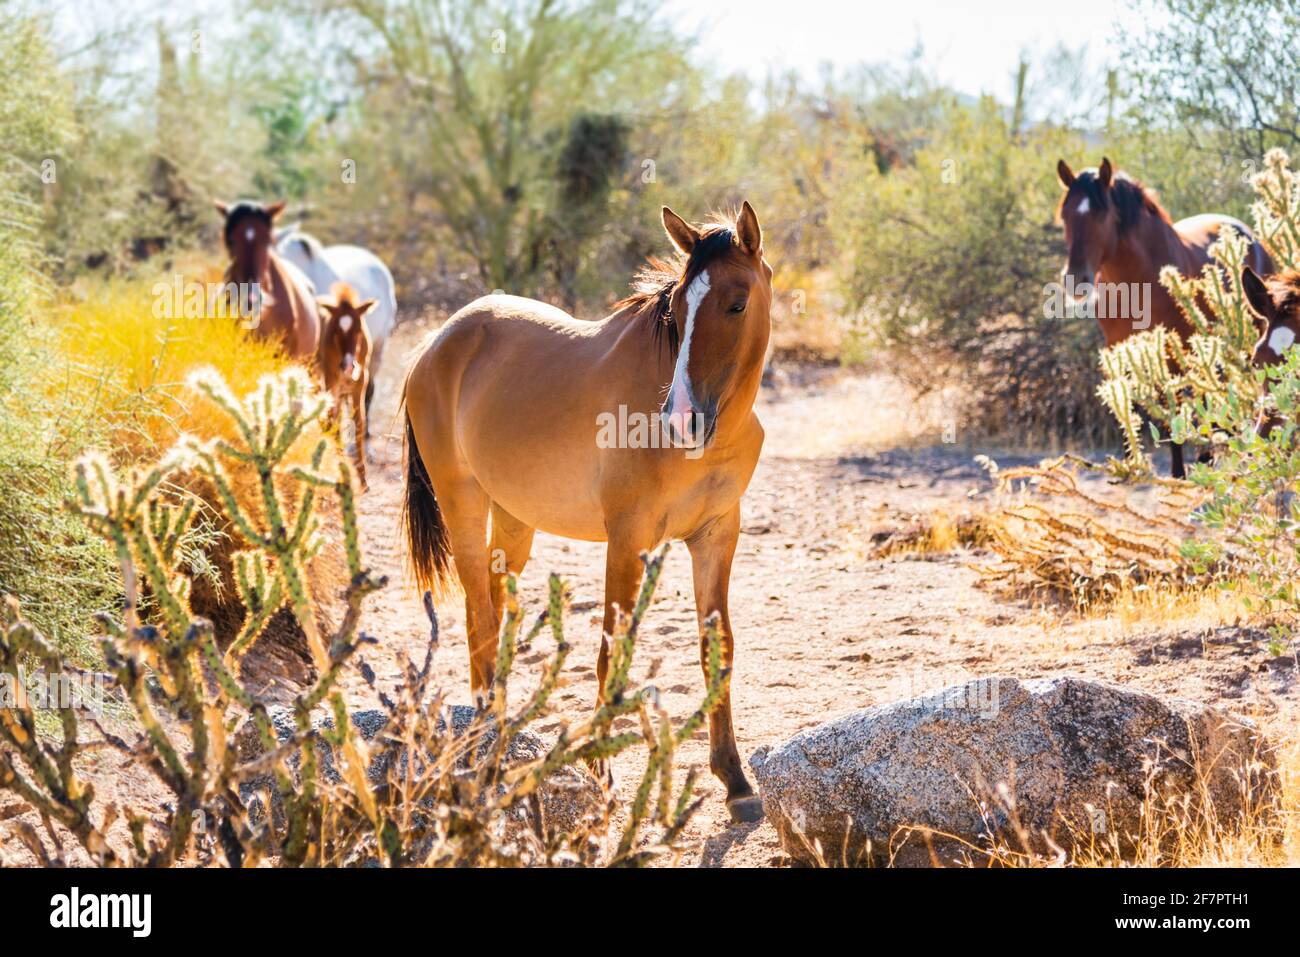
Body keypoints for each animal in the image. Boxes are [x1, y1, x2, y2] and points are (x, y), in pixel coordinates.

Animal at [315, 280, 374, 488]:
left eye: (358, 329)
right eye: (335, 331)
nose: (348, 366)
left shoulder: (360, 384)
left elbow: (359, 422)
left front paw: (363, 477)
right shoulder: (332, 383)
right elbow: (334, 422)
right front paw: (342, 472)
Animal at [400, 204, 769, 821]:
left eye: (737, 303)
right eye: (675, 310)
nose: (682, 419)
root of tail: (439, 341)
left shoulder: (717, 537)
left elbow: (716, 648)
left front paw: (735, 780)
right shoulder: (627, 540)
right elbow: (609, 652)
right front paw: (600, 772)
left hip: (514, 520)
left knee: (491, 609)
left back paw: (497, 729)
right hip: (463, 503)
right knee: (480, 616)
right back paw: (487, 744)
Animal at [1055, 157, 1268, 478]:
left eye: (1102, 215)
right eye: (1065, 214)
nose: (1075, 279)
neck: (1137, 281)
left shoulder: (1170, 351)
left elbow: (1176, 409)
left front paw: (1183, 472)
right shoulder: (1121, 349)